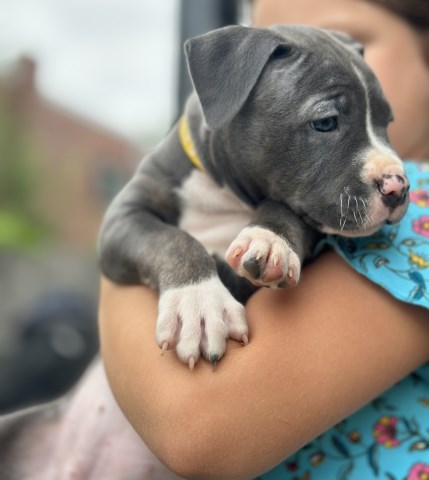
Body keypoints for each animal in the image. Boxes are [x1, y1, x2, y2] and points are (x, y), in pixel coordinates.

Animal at [98, 23, 408, 368]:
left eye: (387, 122)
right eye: (326, 122)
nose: (398, 186)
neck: (224, 194)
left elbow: (285, 210)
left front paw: (270, 242)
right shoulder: (124, 215)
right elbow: (171, 240)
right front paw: (199, 302)